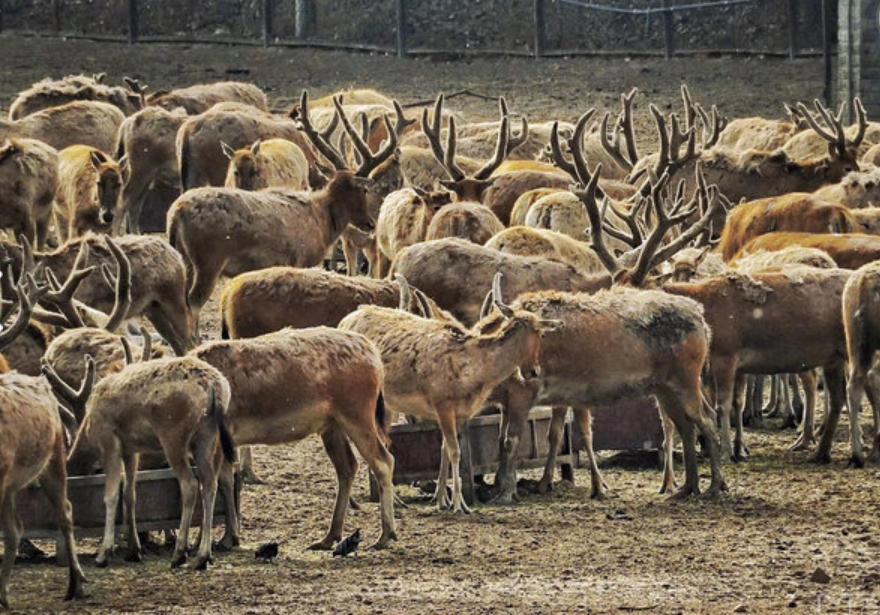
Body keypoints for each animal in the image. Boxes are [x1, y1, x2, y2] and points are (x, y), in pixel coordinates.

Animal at [194, 328, 398, 552]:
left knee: (384, 460)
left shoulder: (218, 439)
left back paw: (385, 535)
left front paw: (205, 542)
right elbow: (226, 482)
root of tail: (374, 355)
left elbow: (212, 483)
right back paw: (329, 537)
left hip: (357, 413)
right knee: (347, 466)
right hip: (332, 425)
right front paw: (227, 538)